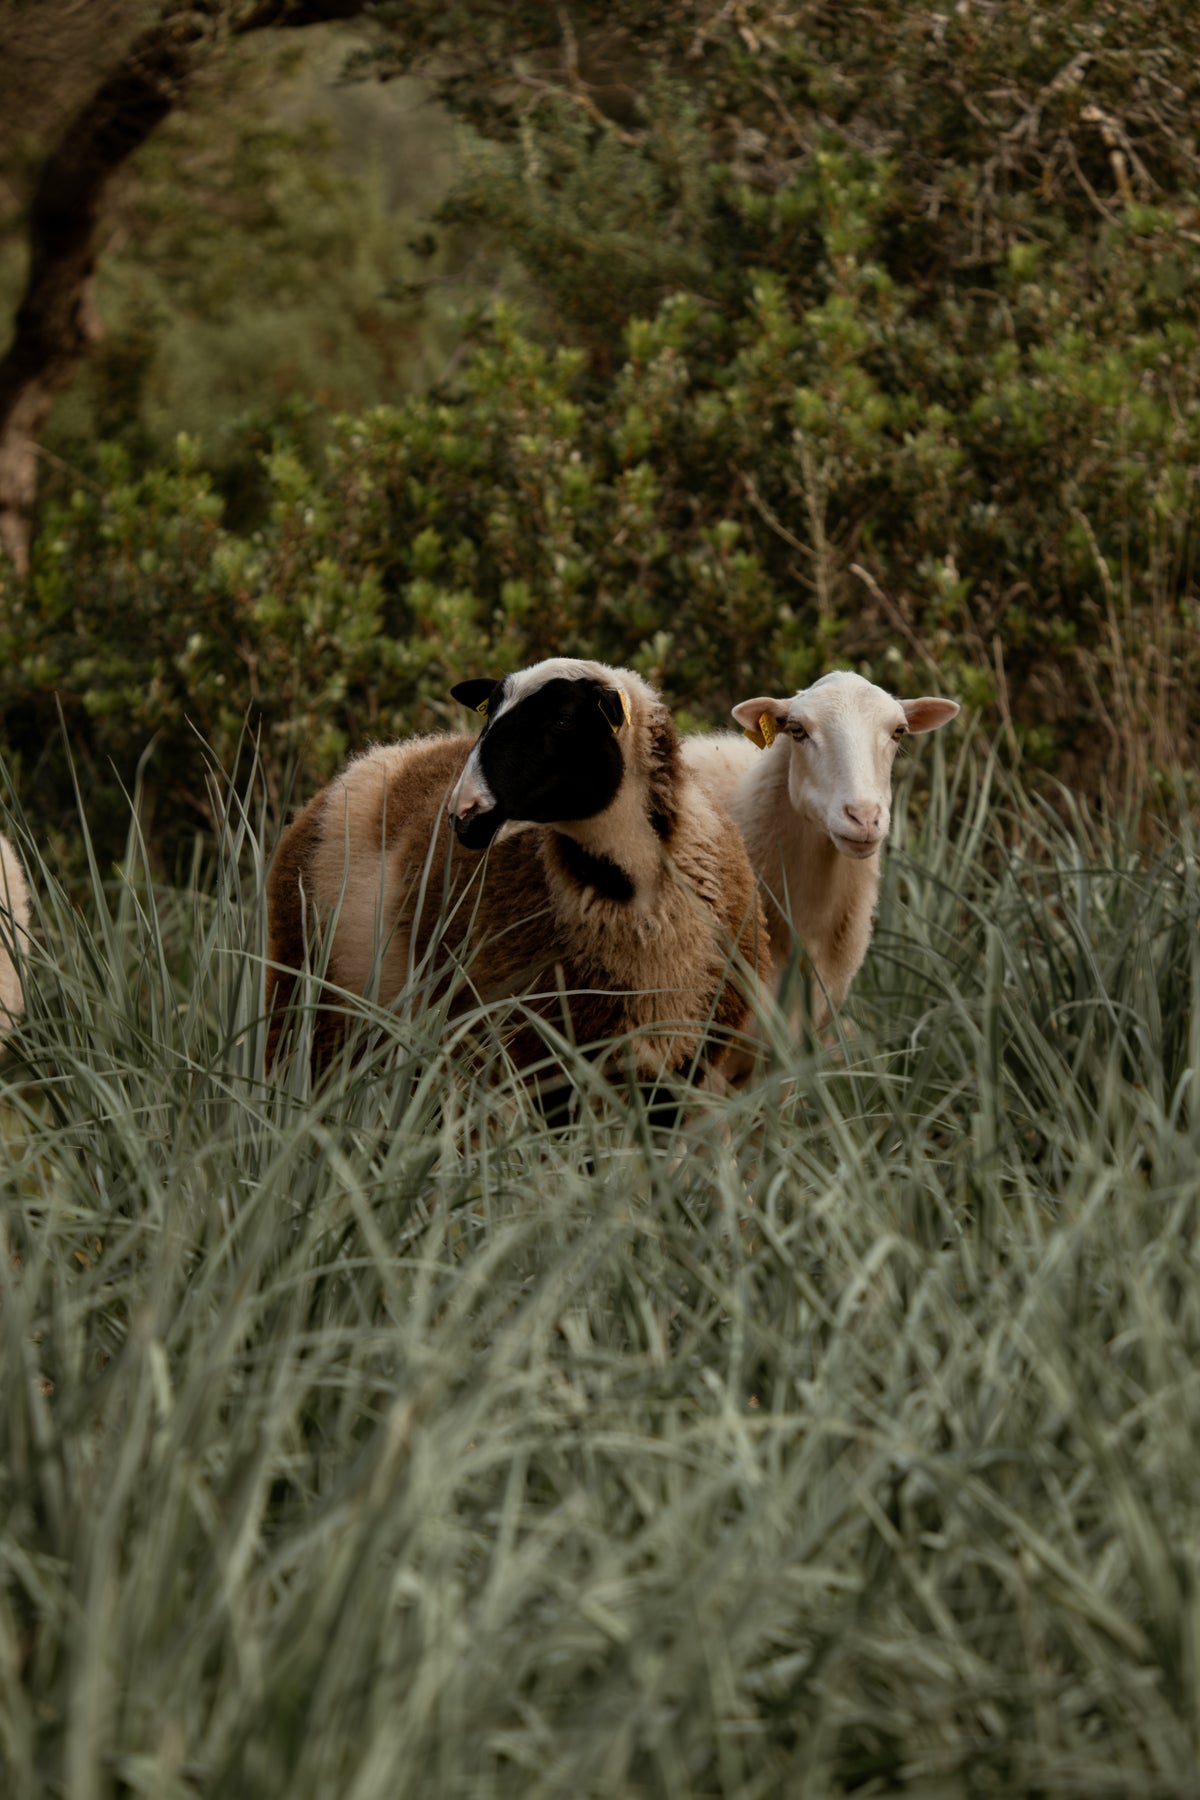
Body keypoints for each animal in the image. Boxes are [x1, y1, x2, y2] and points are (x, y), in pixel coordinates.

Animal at [266, 657, 770, 1108]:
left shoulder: (675, 1063)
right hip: (309, 1005)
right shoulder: (543, 1058)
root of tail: (378, 757)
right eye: (488, 714)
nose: (464, 813)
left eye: (564, 719)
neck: (638, 900)